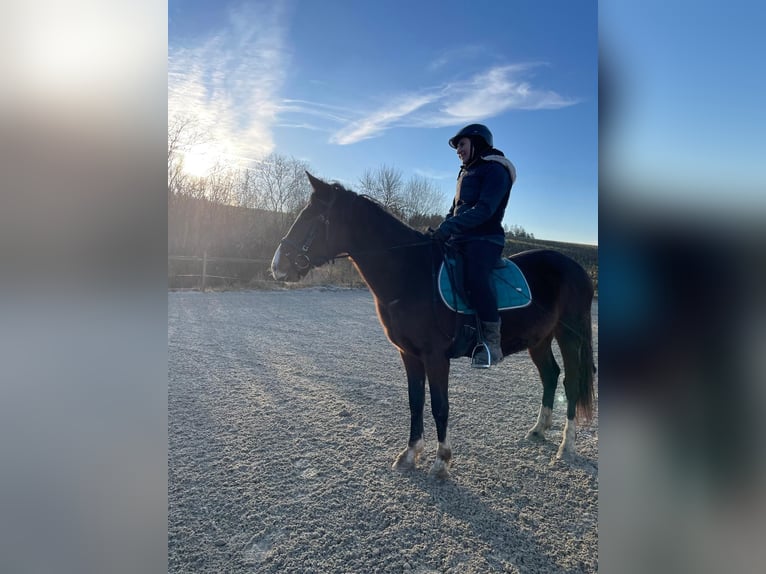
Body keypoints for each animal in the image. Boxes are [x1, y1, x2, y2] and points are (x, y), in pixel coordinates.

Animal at [272, 173, 600, 480]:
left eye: (314, 218)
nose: (277, 266)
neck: (410, 272)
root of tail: (576, 268)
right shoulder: (409, 354)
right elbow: (415, 402)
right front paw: (409, 454)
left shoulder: (435, 356)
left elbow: (439, 406)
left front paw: (442, 461)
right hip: (539, 338)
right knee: (550, 375)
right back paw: (538, 429)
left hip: (569, 335)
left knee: (570, 381)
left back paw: (566, 446)